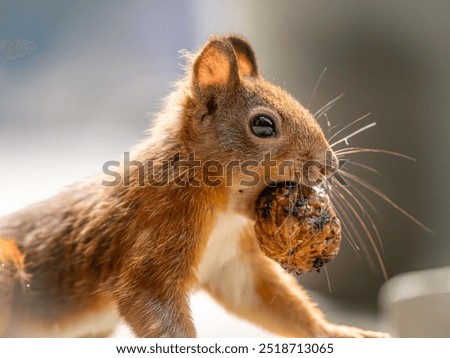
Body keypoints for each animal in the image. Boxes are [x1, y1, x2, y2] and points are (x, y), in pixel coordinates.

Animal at [0, 35, 386, 338]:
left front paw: (339, 332)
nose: (330, 165)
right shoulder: (161, 226)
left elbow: (266, 298)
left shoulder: (232, 262)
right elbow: (150, 301)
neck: (223, 206)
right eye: (263, 125)